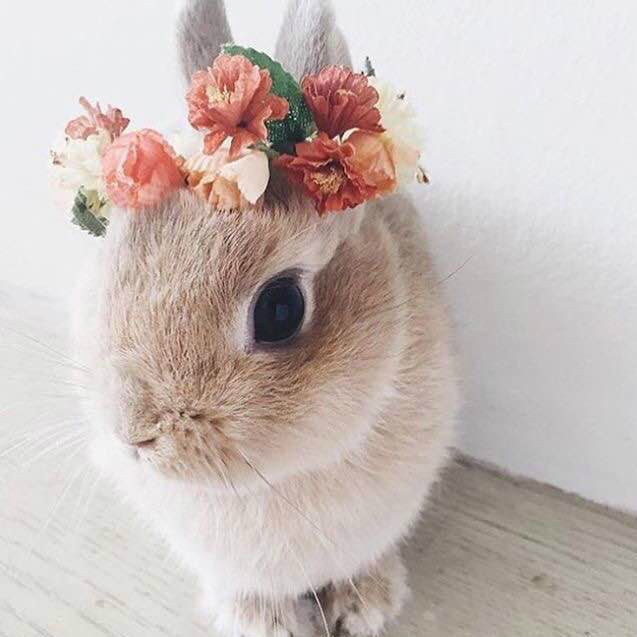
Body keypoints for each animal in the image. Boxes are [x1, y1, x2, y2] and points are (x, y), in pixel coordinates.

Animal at [71, 1, 459, 635]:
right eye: (118, 253)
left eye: (281, 309)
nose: (134, 435)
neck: (277, 477)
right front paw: (266, 625)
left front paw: (363, 609)